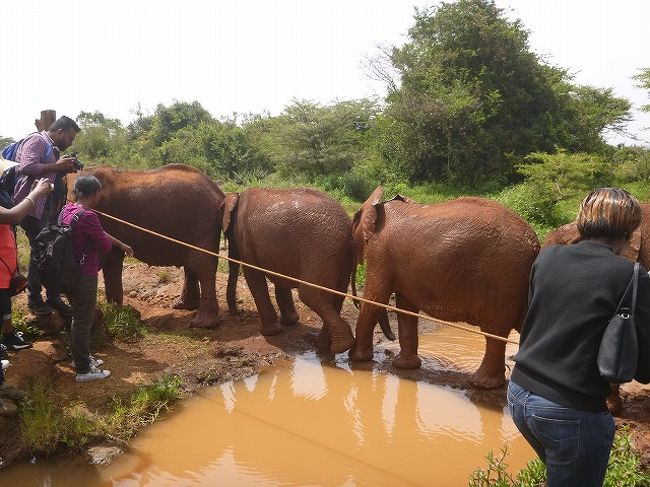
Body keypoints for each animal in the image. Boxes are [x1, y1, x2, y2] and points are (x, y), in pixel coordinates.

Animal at [85, 164, 225, 328]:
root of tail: (218, 192)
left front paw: (114, 312)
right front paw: (115, 311)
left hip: (203, 221)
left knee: (201, 264)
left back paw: (202, 324)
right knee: (191, 263)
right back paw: (183, 306)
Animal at [223, 188, 364, 354]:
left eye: (227, 234)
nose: (237, 312)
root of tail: (349, 228)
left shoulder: (244, 237)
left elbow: (253, 276)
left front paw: (270, 333)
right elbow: (280, 276)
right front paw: (289, 322)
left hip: (322, 249)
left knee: (311, 294)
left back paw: (339, 346)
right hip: (340, 255)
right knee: (335, 296)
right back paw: (325, 346)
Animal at [346, 187, 540, 388]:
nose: (390, 339)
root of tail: (534, 242)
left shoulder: (380, 251)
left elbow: (374, 303)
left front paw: (356, 359)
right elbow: (406, 310)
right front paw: (404, 366)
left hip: (502, 276)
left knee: (494, 331)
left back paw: (481, 384)